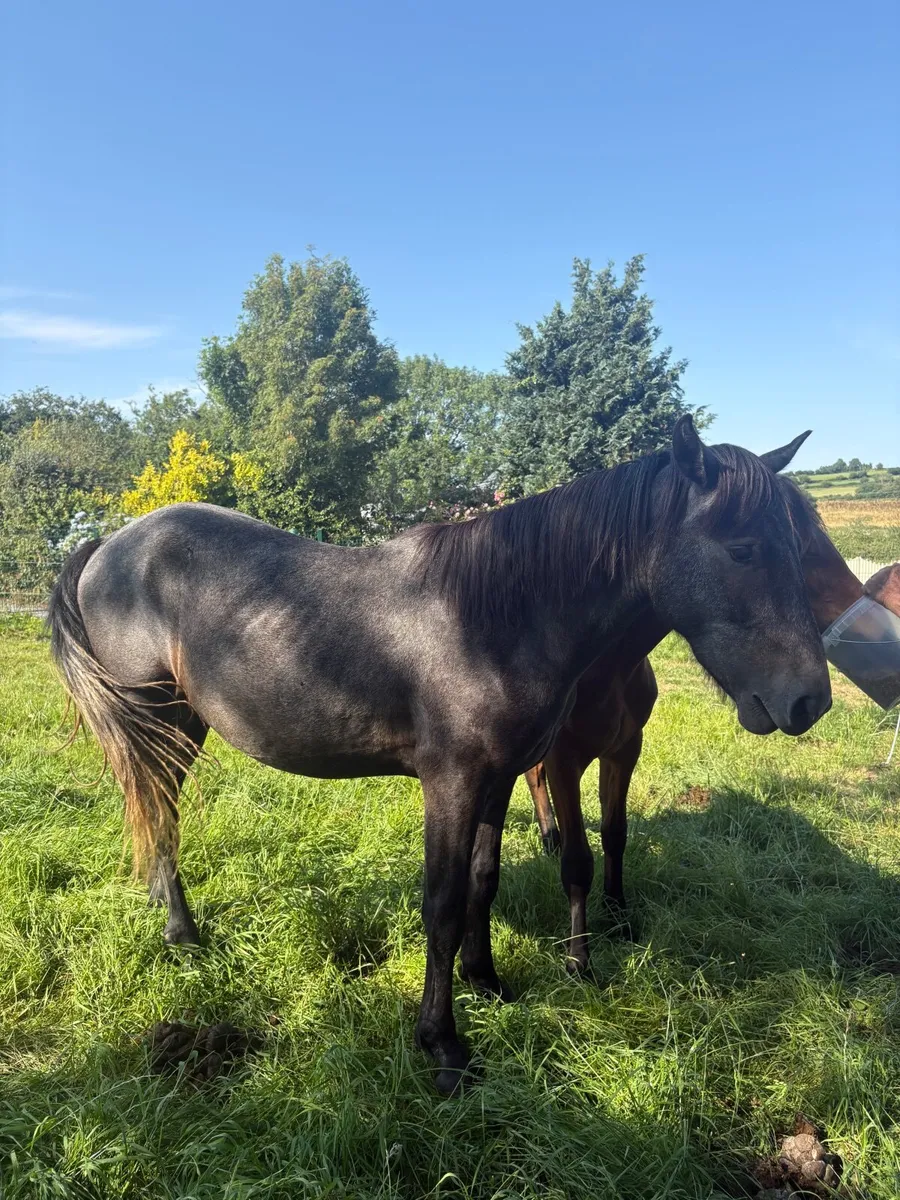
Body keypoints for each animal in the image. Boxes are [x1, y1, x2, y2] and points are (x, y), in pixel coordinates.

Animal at [48, 417, 831, 1095]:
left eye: (797, 550)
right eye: (743, 549)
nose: (808, 701)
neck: (491, 617)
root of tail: (108, 545)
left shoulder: (500, 779)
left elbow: (484, 882)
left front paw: (488, 982)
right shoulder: (450, 784)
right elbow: (444, 904)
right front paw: (444, 1045)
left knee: (155, 811)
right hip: (158, 721)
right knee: (156, 812)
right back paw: (184, 935)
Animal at [525, 522, 900, 974]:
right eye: (798, 545)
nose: (811, 702)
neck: (603, 670)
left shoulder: (624, 751)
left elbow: (615, 835)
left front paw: (617, 917)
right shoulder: (564, 761)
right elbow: (578, 861)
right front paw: (579, 958)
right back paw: (550, 837)